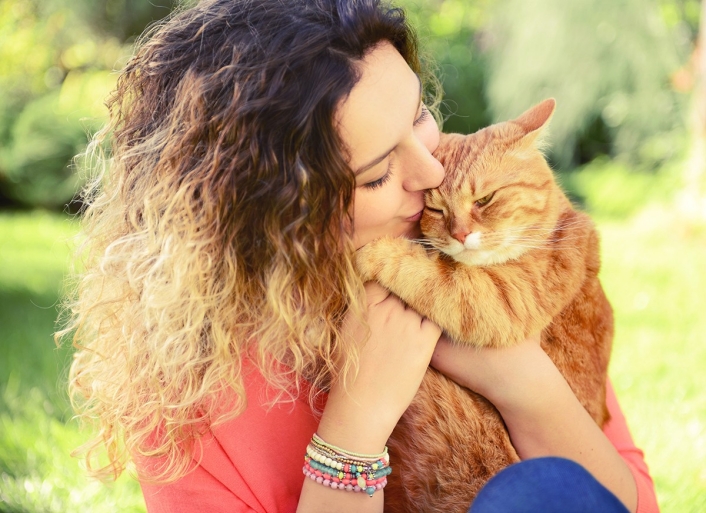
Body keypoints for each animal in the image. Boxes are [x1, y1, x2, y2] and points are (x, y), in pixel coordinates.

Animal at [354, 98, 612, 510]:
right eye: (436, 209)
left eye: (485, 199)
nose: (460, 234)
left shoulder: (500, 299)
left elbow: (425, 272)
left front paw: (371, 254)